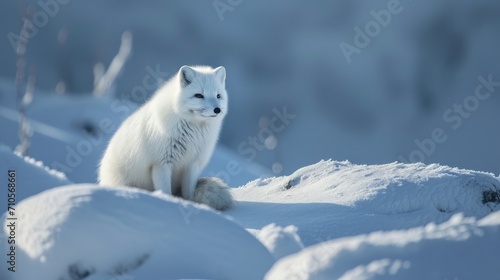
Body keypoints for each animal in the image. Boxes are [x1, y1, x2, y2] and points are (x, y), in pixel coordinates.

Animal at [100, 65, 236, 210]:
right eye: (199, 95)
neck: (192, 131)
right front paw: (169, 203)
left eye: (218, 96)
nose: (217, 110)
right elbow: (165, 191)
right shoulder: (161, 164)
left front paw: (191, 205)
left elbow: (189, 193)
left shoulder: (192, 164)